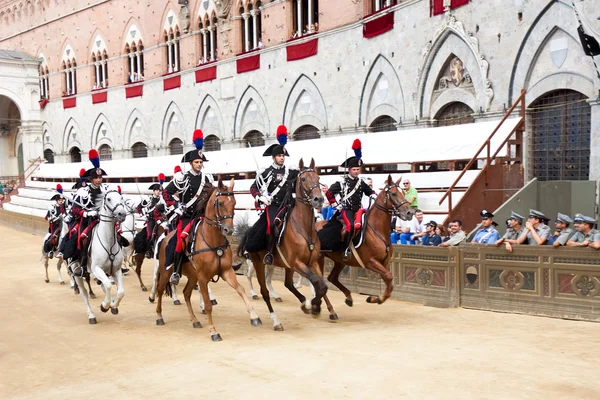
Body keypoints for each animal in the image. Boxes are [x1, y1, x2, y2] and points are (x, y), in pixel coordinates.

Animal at [73, 189, 128, 324]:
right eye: (108, 199)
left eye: (121, 198)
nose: (122, 214)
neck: (108, 241)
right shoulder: (96, 269)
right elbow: (108, 285)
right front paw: (104, 306)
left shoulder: (116, 270)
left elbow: (121, 292)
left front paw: (113, 305)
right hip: (77, 272)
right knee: (85, 294)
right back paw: (91, 316)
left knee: (103, 285)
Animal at [151, 178, 258, 340]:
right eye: (220, 203)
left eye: (234, 202)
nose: (229, 230)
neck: (213, 241)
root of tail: (165, 238)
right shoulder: (202, 277)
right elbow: (208, 304)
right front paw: (213, 331)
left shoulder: (226, 271)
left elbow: (240, 289)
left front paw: (254, 316)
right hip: (165, 272)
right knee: (160, 288)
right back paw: (159, 316)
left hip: (192, 276)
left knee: (186, 293)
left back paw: (194, 320)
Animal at [237, 158, 328, 330]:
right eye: (303, 179)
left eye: (318, 178)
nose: (318, 199)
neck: (304, 228)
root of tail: (249, 231)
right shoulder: (297, 262)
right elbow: (315, 281)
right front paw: (314, 306)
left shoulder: (311, 262)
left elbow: (322, 285)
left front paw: (314, 306)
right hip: (258, 263)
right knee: (263, 290)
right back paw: (276, 321)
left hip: (285, 266)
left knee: (287, 283)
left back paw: (302, 303)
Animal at [314, 174, 412, 306]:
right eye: (393, 194)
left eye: (403, 192)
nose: (409, 212)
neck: (376, 229)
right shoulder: (369, 261)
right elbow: (388, 276)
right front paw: (378, 298)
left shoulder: (384, 262)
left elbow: (389, 281)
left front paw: (375, 298)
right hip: (319, 259)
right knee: (320, 282)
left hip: (339, 261)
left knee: (332, 278)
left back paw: (348, 298)